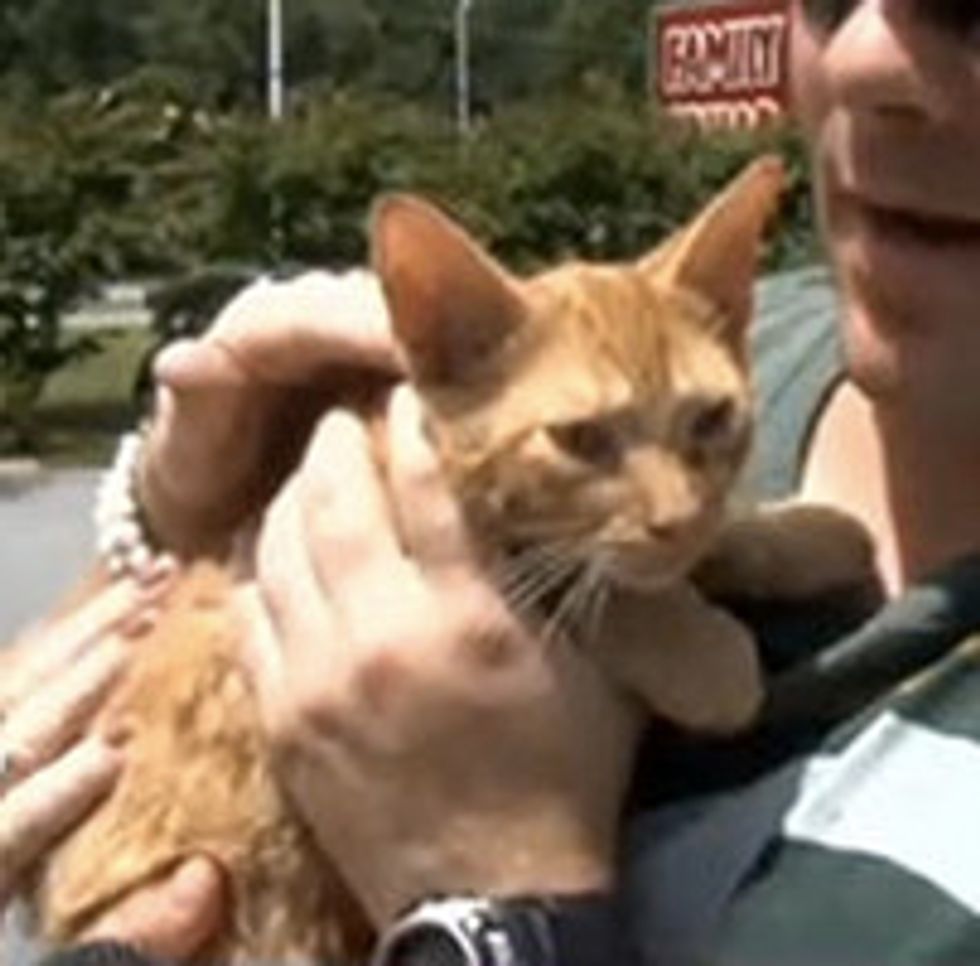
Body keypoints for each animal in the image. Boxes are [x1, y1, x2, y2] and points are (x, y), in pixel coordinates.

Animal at [34, 157, 868, 960]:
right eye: (579, 439)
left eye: (712, 418)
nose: (678, 518)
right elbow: (593, 588)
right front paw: (704, 657)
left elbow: (693, 552)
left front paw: (807, 532)